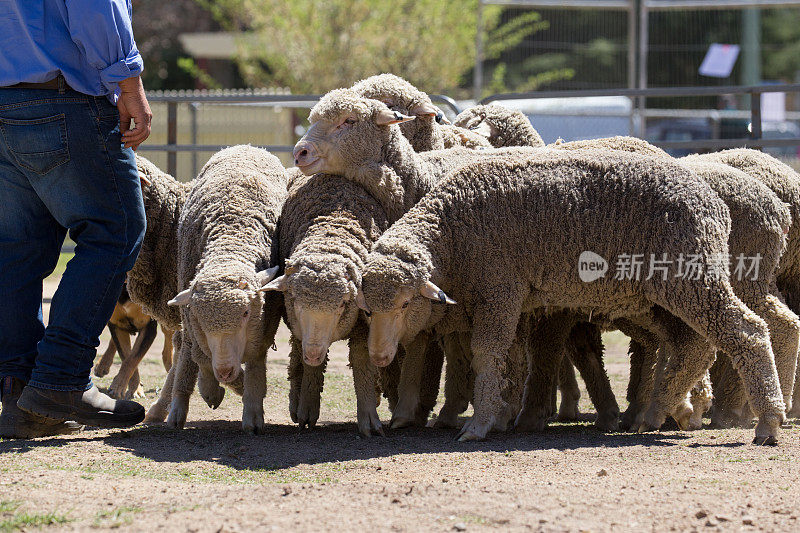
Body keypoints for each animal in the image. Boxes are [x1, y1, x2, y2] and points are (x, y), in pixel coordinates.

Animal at [147, 145, 288, 432]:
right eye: (202, 319)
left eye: (246, 313)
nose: (224, 370)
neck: (230, 240)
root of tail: (245, 146)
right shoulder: (191, 319)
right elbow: (199, 356)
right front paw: (211, 390)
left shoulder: (264, 325)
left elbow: (256, 367)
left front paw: (252, 412)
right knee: (186, 352)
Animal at [358, 145, 788, 440]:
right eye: (367, 310)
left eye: (405, 304)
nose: (378, 357)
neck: (451, 232)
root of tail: (713, 202)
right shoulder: (513, 303)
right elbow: (512, 360)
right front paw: (501, 414)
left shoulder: (500, 291)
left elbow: (489, 354)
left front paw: (479, 425)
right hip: (661, 293)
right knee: (694, 345)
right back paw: (660, 410)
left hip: (690, 277)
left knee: (747, 331)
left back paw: (767, 421)